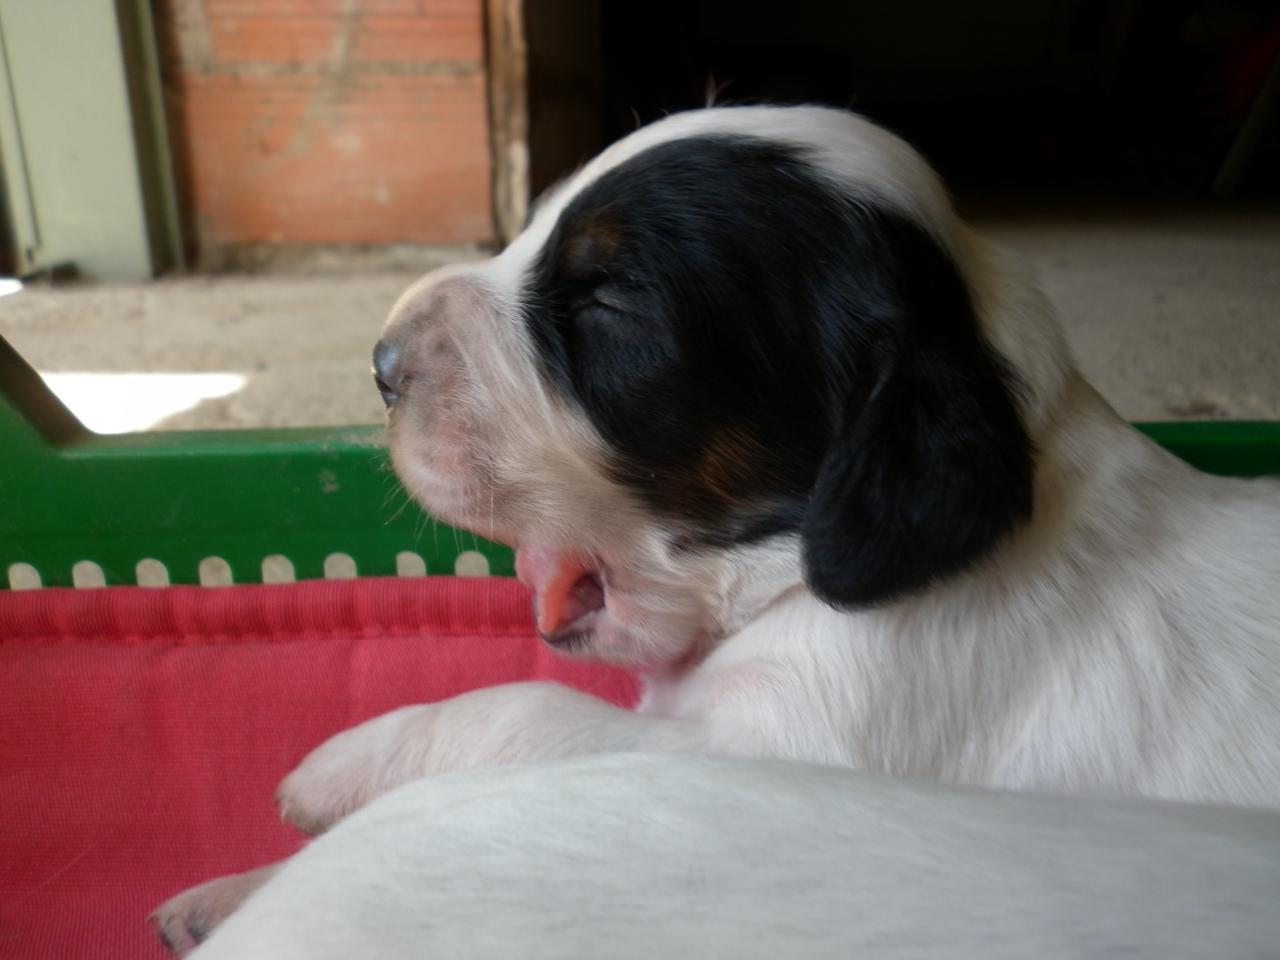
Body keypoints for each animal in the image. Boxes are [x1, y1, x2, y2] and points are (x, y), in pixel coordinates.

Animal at [156, 104, 1280, 952]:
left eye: (608, 304)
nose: (382, 364)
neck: (794, 584)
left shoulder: (786, 747)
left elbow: (529, 709)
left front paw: (333, 768)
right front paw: (232, 894)